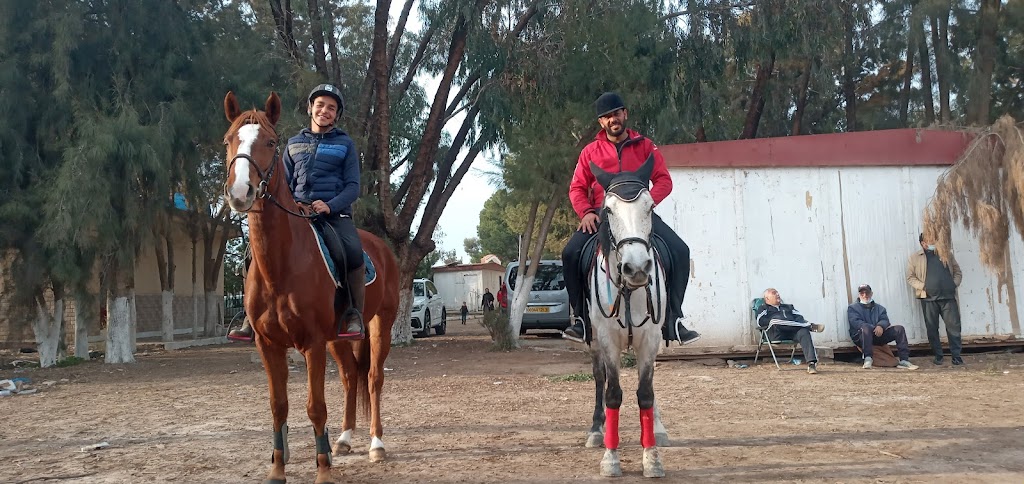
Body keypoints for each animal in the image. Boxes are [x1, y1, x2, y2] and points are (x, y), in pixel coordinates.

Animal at [222, 91, 397, 482]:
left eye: (270, 142)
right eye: (228, 140)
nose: (241, 192)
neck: (280, 265)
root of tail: (380, 246)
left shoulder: (312, 343)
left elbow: (315, 407)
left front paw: (323, 471)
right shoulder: (268, 345)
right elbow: (278, 406)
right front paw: (277, 468)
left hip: (381, 324)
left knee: (373, 378)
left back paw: (376, 444)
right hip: (338, 338)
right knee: (350, 377)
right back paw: (344, 440)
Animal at [585, 154, 671, 474]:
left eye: (651, 206)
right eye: (608, 210)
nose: (636, 268)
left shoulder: (650, 339)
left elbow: (645, 393)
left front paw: (652, 457)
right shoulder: (607, 340)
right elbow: (612, 393)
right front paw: (611, 459)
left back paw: (658, 428)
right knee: (599, 379)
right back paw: (596, 431)